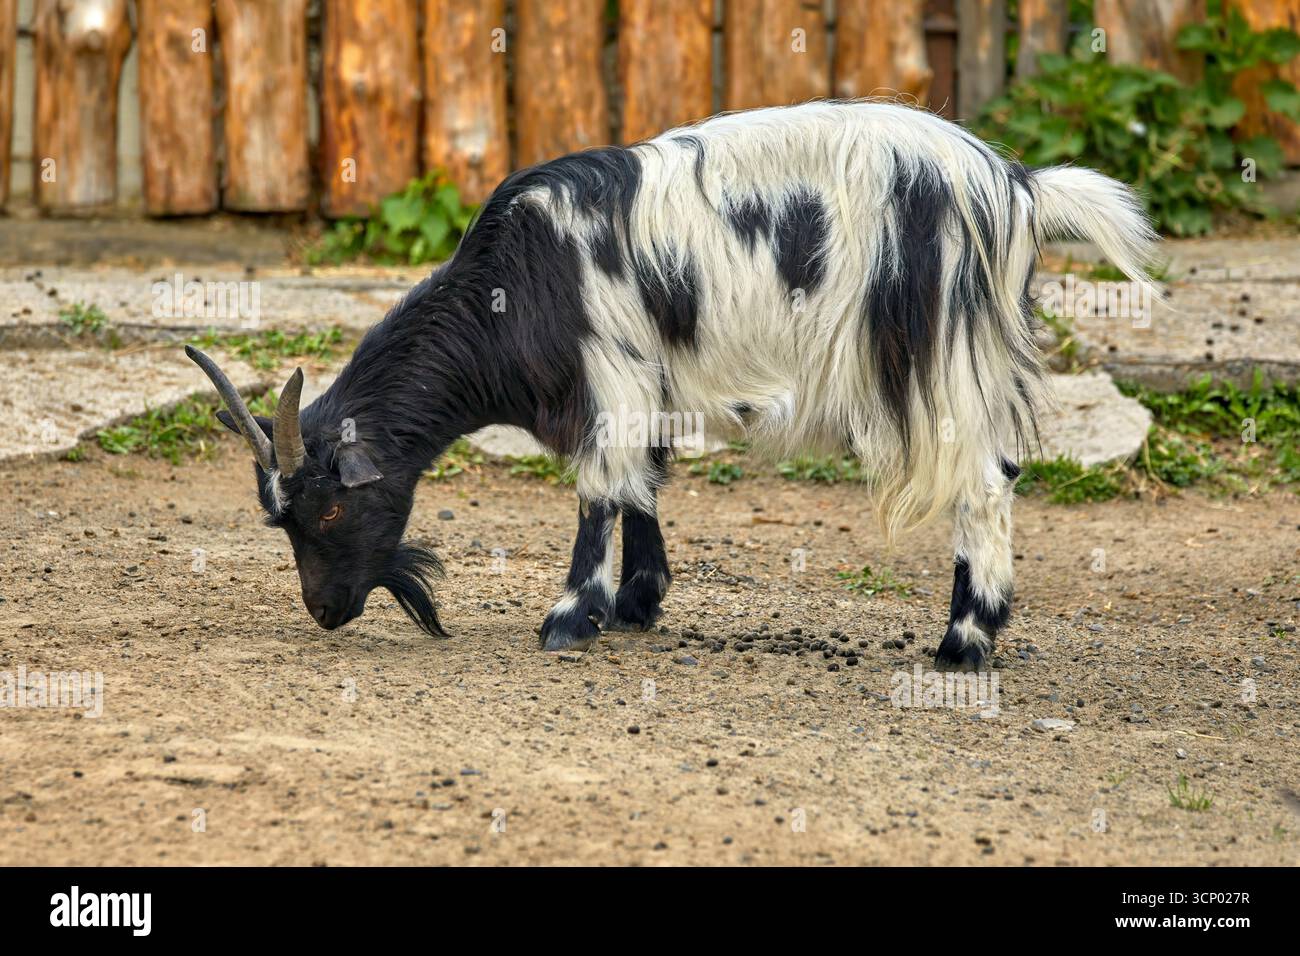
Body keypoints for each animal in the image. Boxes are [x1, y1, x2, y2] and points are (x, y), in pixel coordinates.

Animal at [188, 100, 1157, 669]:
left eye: (331, 509)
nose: (324, 611)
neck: (518, 276)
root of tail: (1018, 188)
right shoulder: (648, 382)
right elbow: (644, 484)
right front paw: (638, 601)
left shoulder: (609, 374)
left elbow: (598, 490)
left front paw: (570, 615)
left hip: (939, 358)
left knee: (984, 483)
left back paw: (963, 641)